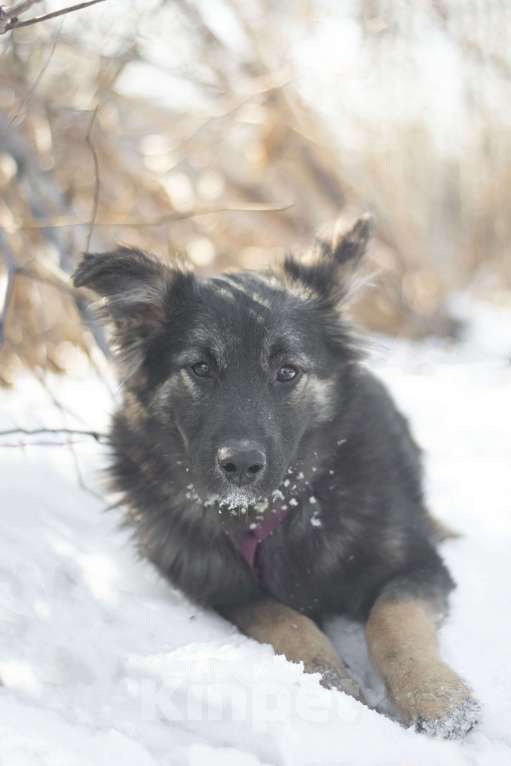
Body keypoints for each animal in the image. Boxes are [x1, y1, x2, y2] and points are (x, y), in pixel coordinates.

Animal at [73, 214, 480, 736]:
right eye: (200, 367)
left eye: (287, 371)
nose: (241, 466)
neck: (273, 513)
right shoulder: (223, 589)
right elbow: (282, 619)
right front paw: (332, 678)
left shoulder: (417, 565)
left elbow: (394, 617)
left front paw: (434, 696)